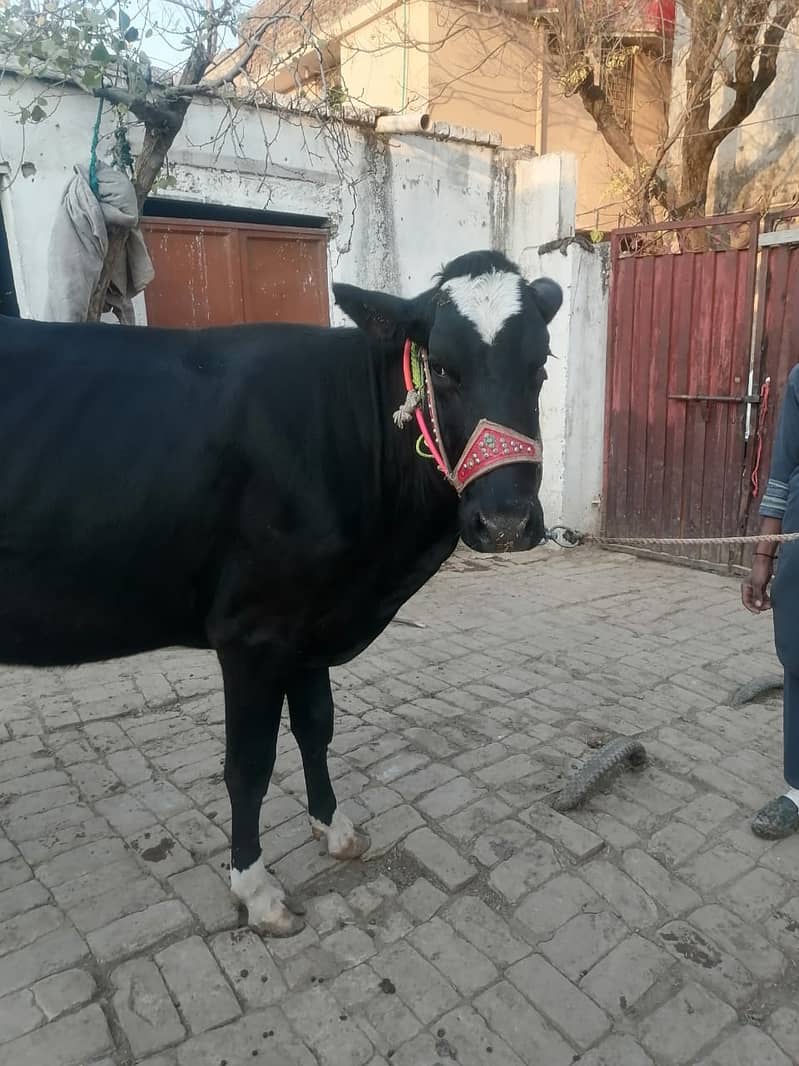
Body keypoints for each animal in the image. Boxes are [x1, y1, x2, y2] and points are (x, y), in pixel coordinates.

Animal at [0, 250, 561, 935]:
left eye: (540, 367)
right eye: (444, 368)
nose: (505, 521)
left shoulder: (310, 625)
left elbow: (316, 728)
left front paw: (335, 828)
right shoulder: (252, 631)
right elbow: (248, 766)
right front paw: (255, 888)